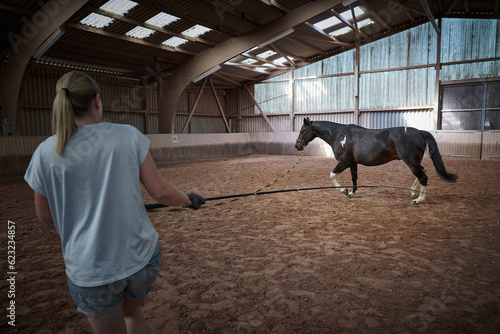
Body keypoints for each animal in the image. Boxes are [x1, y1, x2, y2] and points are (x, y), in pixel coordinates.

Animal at [294, 118, 458, 205]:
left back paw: (419, 200)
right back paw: (413, 193)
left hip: (411, 162)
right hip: (414, 162)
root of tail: (420, 132)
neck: (340, 135)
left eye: (302, 130)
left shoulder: (344, 162)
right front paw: (352, 192)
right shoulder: (352, 163)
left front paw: (344, 190)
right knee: (422, 171)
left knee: (423, 176)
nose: (297, 146)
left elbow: (331, 175)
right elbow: (354, 177)